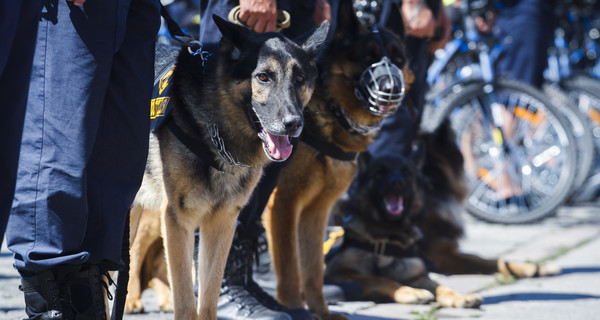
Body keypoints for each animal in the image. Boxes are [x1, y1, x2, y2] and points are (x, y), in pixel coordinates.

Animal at [126, 16, 328, 318]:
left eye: (300, 79)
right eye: (263, 77)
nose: (294, 124)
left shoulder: (222, 224)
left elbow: (208, 300)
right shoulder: (178, 223)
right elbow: (185, 303)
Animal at [262, 1, 408, 318]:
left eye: (399, 60)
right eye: (368, 58)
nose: (392, 89)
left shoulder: (316, 211)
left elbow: (314, 268)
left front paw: (320, 312)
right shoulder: (282, 205)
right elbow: (290, 267)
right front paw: (294, 308)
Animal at [322, 120, 560, 308]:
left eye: (407, 173)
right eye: (380, 172)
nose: (397, 183)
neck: (388, 235)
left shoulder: (424, 271)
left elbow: (485, 265)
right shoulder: (340, 274)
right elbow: (382, 280)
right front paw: (410, 293)